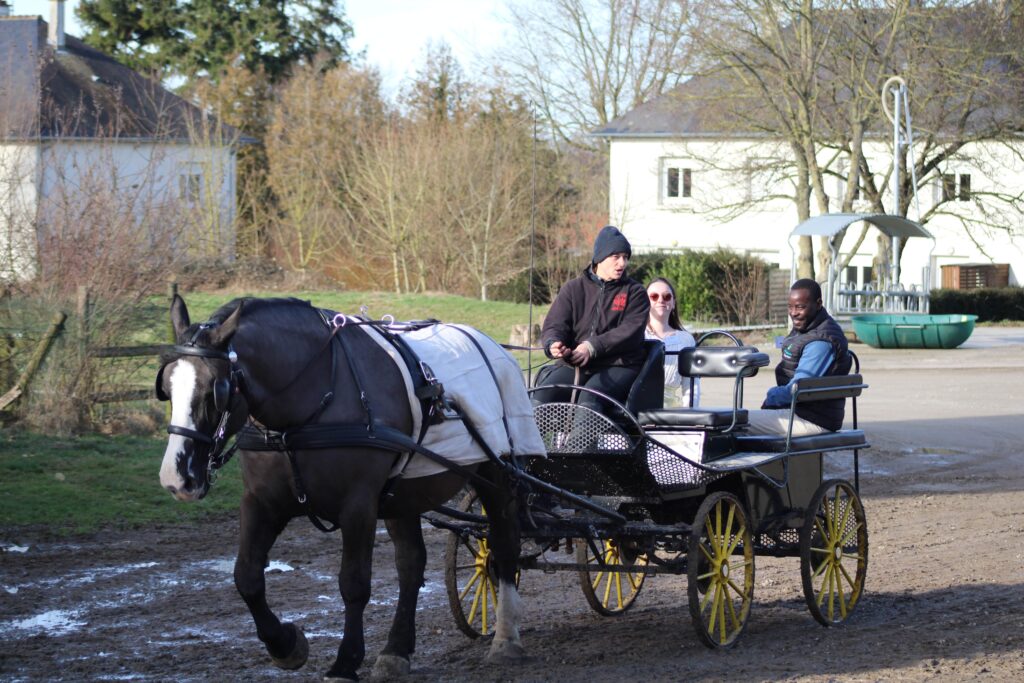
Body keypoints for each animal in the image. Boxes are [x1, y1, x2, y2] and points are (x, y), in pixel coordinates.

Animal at [157, 296, 528, 679]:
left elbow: (353, 583)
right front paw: (285, 644)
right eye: (166, 388)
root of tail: (492, 345)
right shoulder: (262, 502)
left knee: (504, 546)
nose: (176, 478)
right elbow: (246, 576)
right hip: (403, 495)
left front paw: (345, 661)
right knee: (411, 564)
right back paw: (396, 649)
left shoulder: (358, 504)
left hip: (497, 473)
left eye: (214, 392)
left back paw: (506, 638)